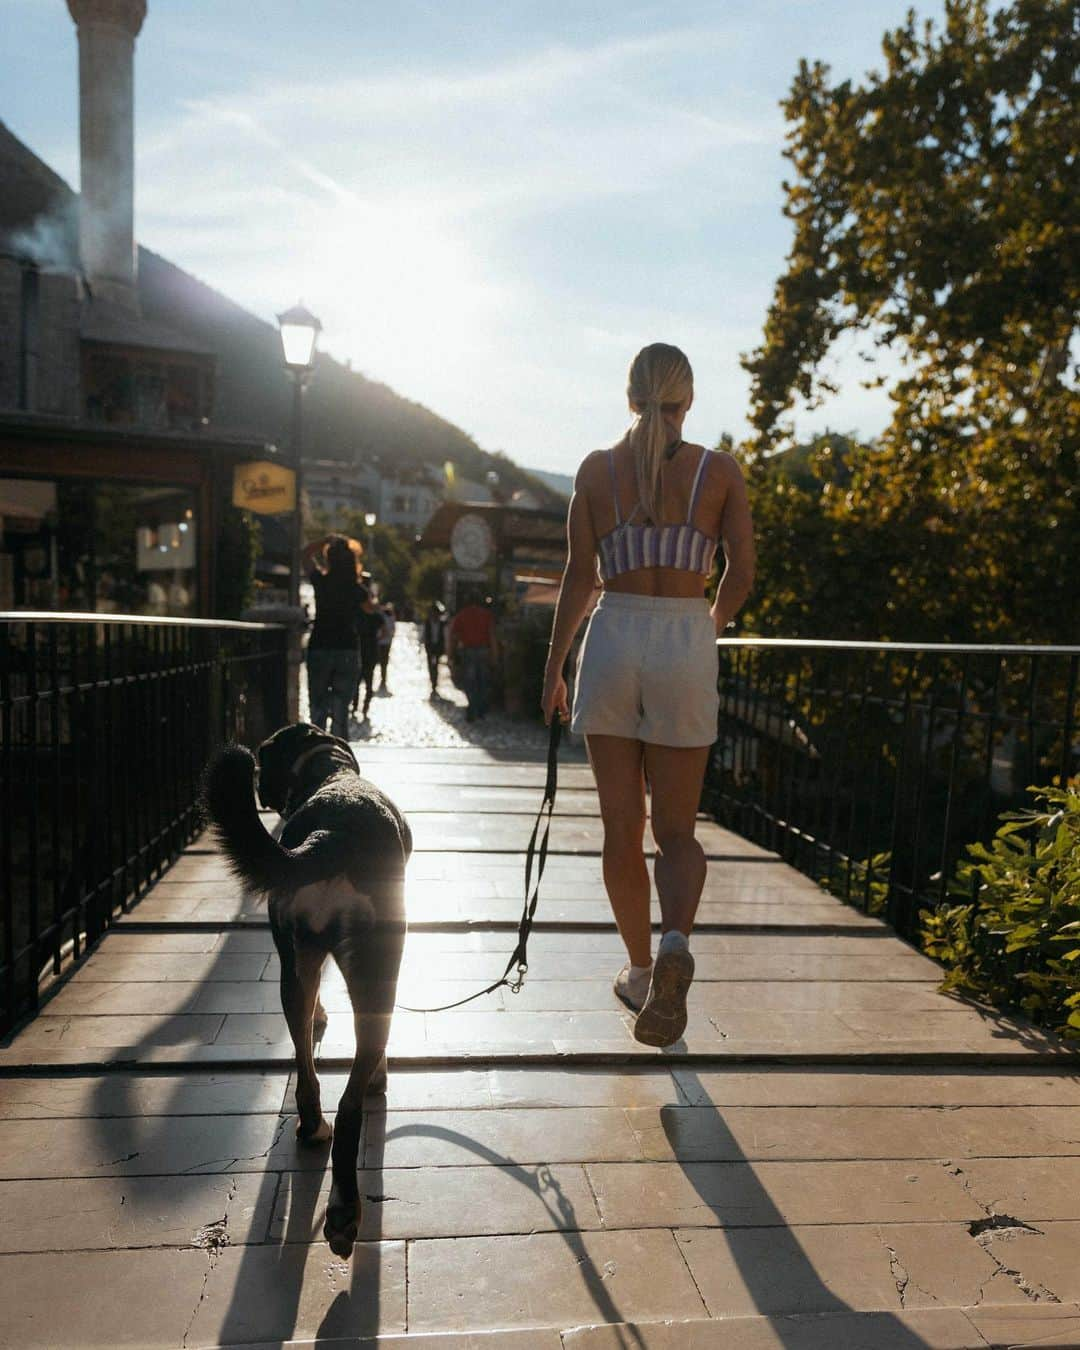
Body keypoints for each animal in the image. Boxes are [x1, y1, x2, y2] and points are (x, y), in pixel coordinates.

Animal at [201, 723, 410, 1258]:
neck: (330, 774)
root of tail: (331, 832)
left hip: (293, 966)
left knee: (305, 1068)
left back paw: (312, 1127)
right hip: (378, 969)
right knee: (352, 1102)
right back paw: (343, 1213)